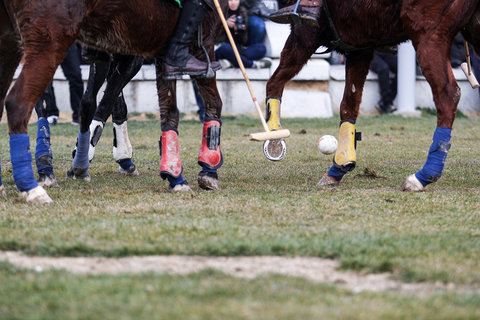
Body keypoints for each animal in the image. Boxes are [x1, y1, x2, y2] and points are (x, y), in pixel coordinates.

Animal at [0, 0, 227, 204]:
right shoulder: (197, 43)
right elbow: (212, 102)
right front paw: (207, 168)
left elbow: (118, 103)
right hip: (51, 38)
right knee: (21, 102)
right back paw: (37, 184)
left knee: (42, 102)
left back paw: (41, 170)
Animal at [268, 0, 480, 190]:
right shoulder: (359, 47)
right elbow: (349, 105)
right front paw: (340, 165)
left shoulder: (305, 33)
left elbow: (274, 83)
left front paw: (274, 140)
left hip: (429, 32)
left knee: (448, 95)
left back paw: (423, 176)